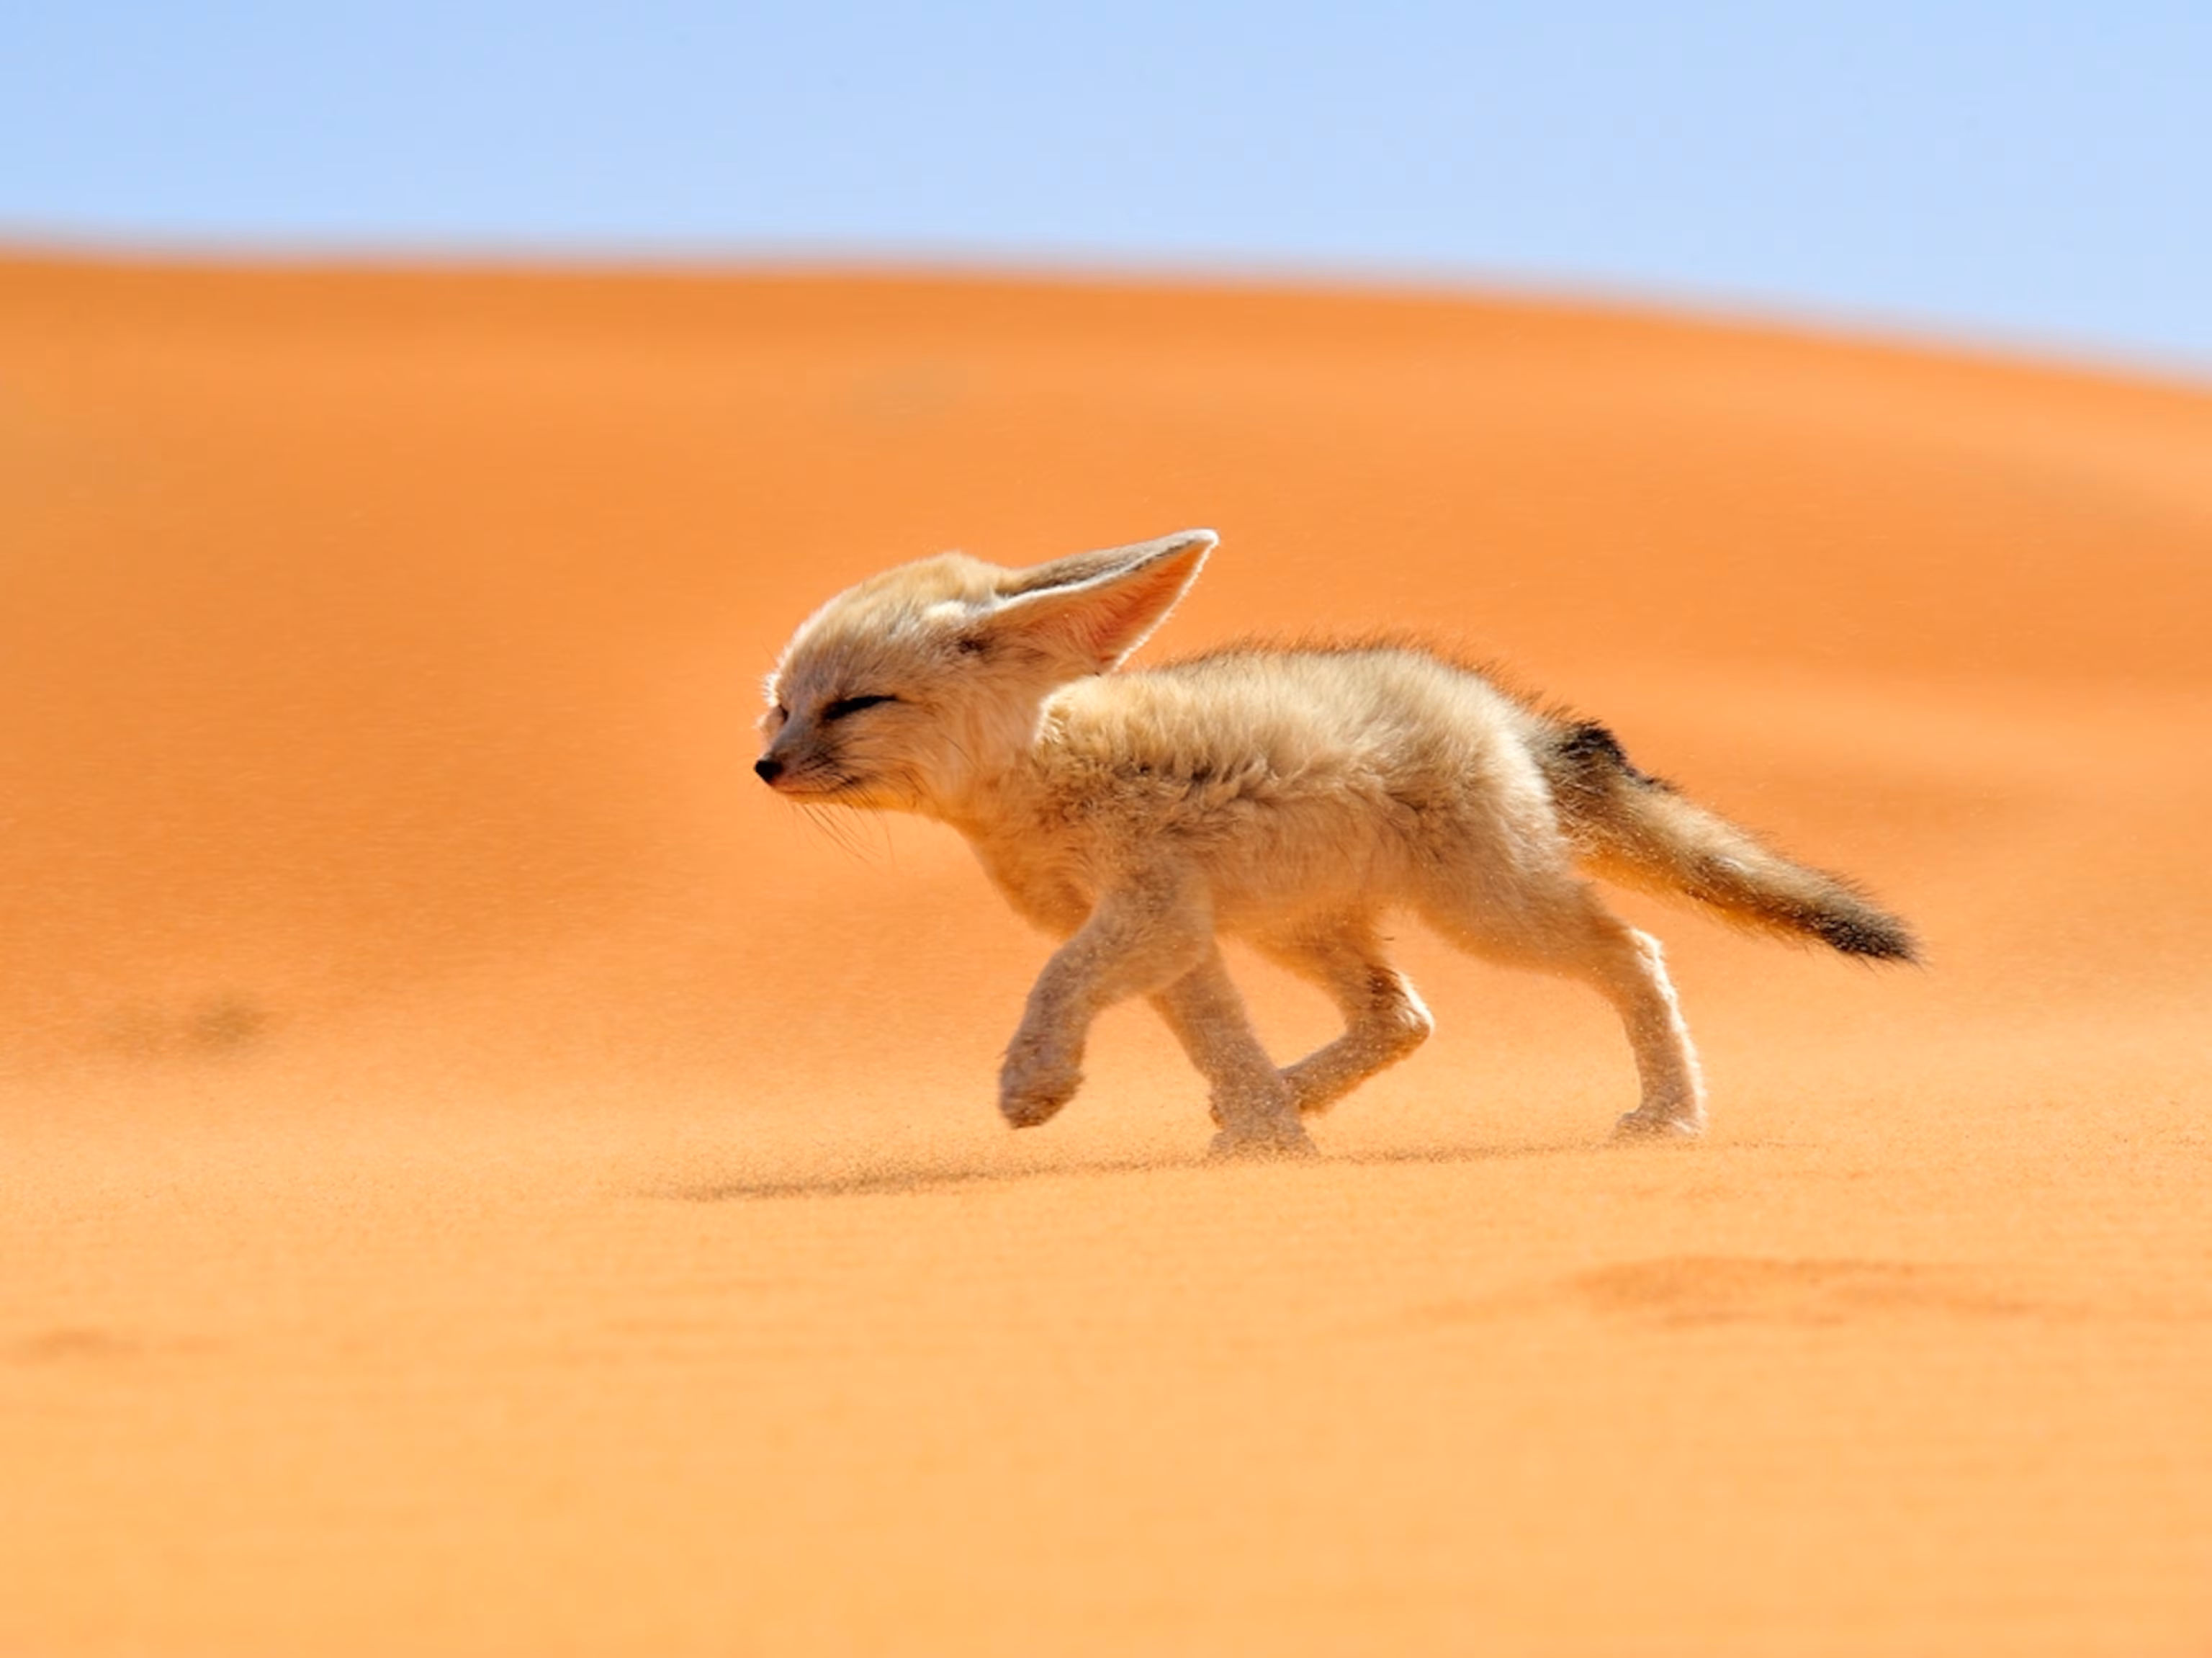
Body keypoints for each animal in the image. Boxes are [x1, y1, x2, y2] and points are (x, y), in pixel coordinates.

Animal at [755, 529, 1916, 1158]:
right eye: (782, 707)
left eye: (855, 705)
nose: (765, 767)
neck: (1046, 769)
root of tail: (1499, 710)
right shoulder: (1180, 936)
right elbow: (1218, 1039)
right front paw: (1268, 1137)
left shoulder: (1146, 913)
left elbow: (1057, 982)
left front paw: (1035, 1082)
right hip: (1302, 928)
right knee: (1402, 1016)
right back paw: (1286, 1097)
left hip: (1490, 914)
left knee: (1633, 952)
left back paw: (1671, 1114)